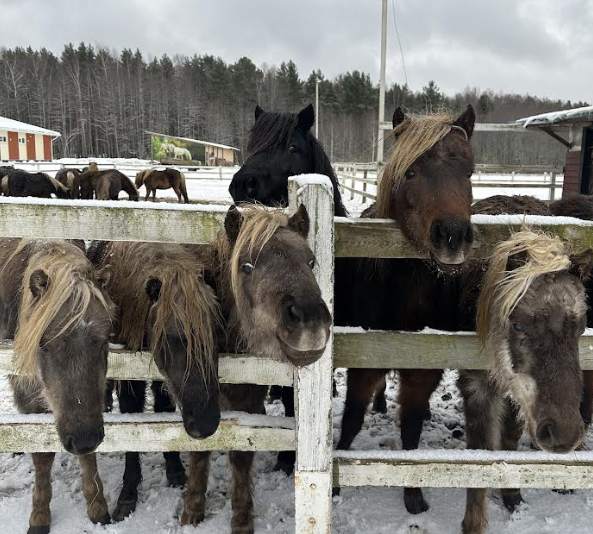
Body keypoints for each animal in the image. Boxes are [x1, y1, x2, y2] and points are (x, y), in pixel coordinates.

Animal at [0, 240, 113, 534]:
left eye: (104, 339)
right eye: (44, 344)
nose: (83, 439)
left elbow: (88, 459)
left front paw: (98, 506)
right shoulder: (27, 394)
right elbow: (41, 456)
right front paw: (40, 515)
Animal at [90, 242, 222, 524]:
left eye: (216, 329)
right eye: (170, 337)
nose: (205, 425)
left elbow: (163, 407)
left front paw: (175, 470)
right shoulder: (129, 377)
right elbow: (132, 426)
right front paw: (127, 495)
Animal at [180, 203, 330, 532]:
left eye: (311, 262)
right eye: (246, 267)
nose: (311, 321)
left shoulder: (248, 401)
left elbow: (241, 455)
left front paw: (241, 519)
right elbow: (199, 449)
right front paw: (192, 509)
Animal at [456, 231, 588, 534]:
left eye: (582, 327)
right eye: (517, 325)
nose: (565, 434)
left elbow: (509, 439)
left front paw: (512, 495)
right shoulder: (476, 387)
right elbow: (477, 461)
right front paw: (474, 524)